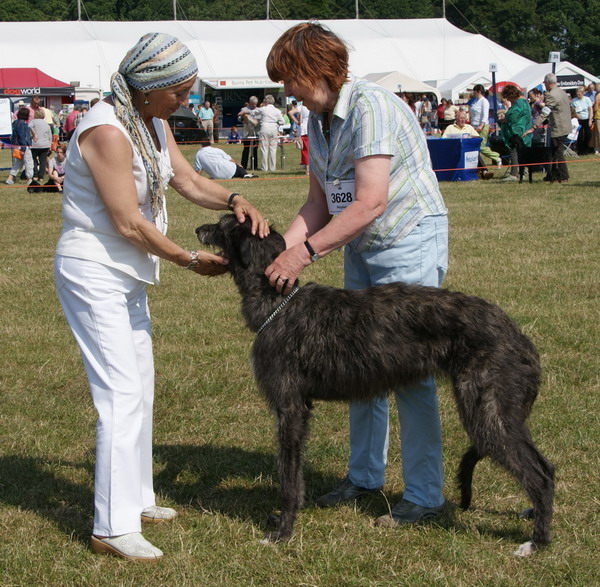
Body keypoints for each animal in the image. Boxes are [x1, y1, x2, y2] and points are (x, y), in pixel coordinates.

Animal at [196, 215, 552, 556]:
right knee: (545, 465)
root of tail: (517, 334)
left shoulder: (291, 408)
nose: (198, 228)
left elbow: (288, 476)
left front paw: (283, 531)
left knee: (539, 474)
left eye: (224, 223)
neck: (279, 303)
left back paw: (536, 543)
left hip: (487, 412)